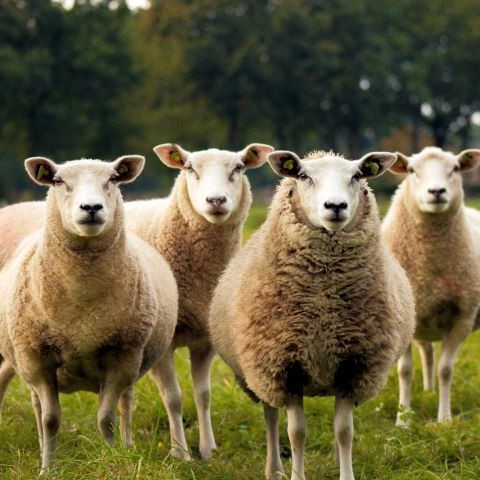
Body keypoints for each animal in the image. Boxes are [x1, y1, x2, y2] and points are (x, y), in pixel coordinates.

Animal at [0, 155, 178, 472]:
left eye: (113, 179)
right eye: (58, 181)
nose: (91, 208)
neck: (83, 309)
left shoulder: (123, 357)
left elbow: (106, 419)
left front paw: (112, 459)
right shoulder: (36, 358)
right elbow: (50, 419)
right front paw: (48, 468)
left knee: (126, 401)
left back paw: (128, 446)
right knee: (35, 405)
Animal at [124, 143, 272, 462]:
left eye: (239, 168)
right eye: (190, 168)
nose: (216, 200)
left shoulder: (205, 341)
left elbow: (203, 396)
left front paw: (207, 449)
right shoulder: (164, 342)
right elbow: (174, 398)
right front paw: (180, 452)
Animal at [210, 150, 416, 480]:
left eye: (357, 176)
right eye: (304, 176)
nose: (336, 206)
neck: (323, 302)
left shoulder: (353, 366)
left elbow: (344, 431)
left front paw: (346, 474)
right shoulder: (284, 367)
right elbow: (296, 433)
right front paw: (296, 474)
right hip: (260, 373)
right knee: (271, 418)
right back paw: (274, 469)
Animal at [382, 145, 480, 424]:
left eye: (455, 168)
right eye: (412, 170)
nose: (437, 192)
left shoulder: (462, 318)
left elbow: (445, 370)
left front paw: (444, 419)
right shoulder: (401, 318)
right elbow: (405, 371)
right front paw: (403, 420)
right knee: (426, 353)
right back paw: (427, 392)